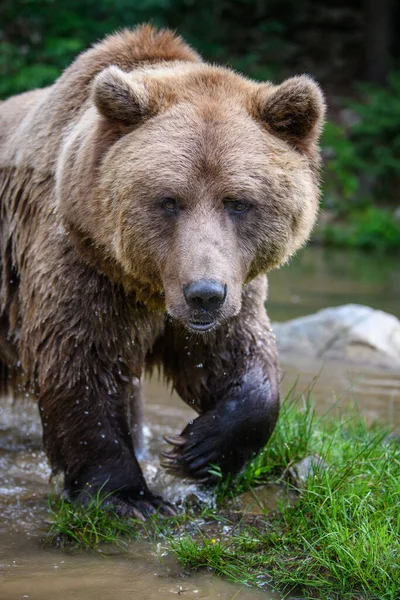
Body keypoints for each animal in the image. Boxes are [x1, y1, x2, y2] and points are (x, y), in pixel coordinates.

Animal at [0, 25, 324, 516]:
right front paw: (127, 495)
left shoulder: (232, 284)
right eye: (169, 200)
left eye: (238, 202)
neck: (146, 286)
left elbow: (235, 356)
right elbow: (81, 362)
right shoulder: (82, 267)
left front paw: (199, 450)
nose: (204, 294)